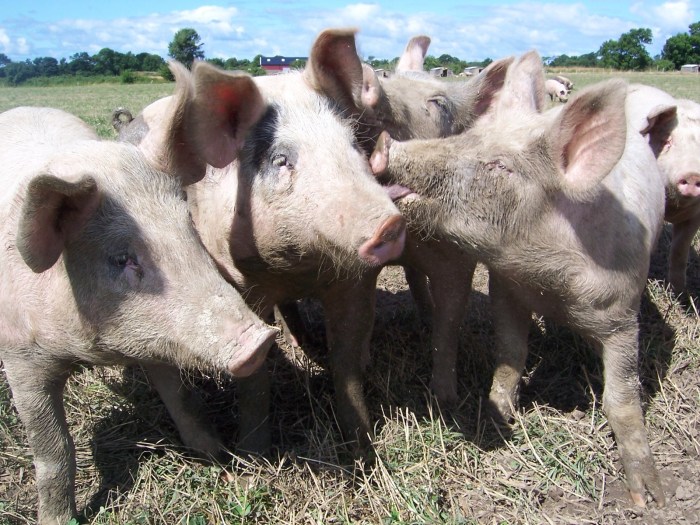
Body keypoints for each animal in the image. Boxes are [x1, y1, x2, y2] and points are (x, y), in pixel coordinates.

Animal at [0, 105, 277, 525]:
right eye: (120, 258)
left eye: (189, 227)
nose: (260, 341)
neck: (94, 351)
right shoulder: (21, 358)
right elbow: (53, 450)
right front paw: (58, 520)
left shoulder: (158, 341)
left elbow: (181, 398)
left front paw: (215, 455)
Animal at [114, 29, 406, 455]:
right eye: (281, 160)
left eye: (354, 146)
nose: (390, 224)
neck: (302, 264)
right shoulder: (239, 282)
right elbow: (256, 379)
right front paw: (254, 453)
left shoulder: (355, 281)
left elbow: (346, 364)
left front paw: (362, 449)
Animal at [370, 51, 666, 507]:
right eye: (468, 137)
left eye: (500, 166)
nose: (384, 145)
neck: (552, 288)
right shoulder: (506, 289)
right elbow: (510, 355)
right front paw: (494, 417)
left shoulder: (622, 315)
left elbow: (621, 397)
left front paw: (648, 498)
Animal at [625, 83, 700, 297]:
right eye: (667, 141)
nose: (693, 175)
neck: (674, 207)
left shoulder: (695, 216)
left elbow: (680, 250)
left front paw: (680, 293)